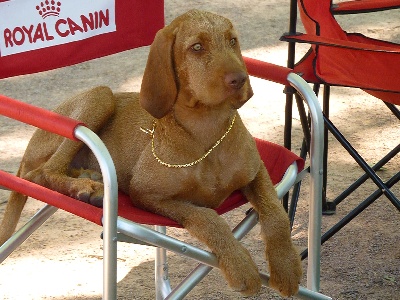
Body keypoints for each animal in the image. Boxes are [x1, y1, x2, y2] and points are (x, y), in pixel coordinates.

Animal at [0, 9, 300, 298]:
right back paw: (85, 187)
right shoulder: (147, 195)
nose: (240, 79)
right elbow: (208, 218)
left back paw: (88, 177)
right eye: (197, 47)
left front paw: (286, 267)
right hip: (101, 96)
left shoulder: (257, 172)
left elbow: (276, 213)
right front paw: (240, 266)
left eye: (232, 41)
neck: (206, 134)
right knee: (43, 172)